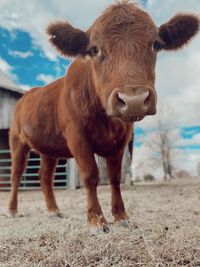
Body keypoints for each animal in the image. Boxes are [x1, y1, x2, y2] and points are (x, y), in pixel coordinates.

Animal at [7, 1, 198, 230]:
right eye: (94, 49)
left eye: (156, 45)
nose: (133, 99)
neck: (107, 121)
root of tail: (26, 95)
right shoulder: (77, 136)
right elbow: (90, 175)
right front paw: (96, 219)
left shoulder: (121, 141)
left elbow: (115, 177)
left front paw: (121, 215)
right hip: (17, 141)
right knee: (16, 175)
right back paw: (12, 210)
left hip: (49, 147)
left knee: (45, 176)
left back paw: (53, 210)